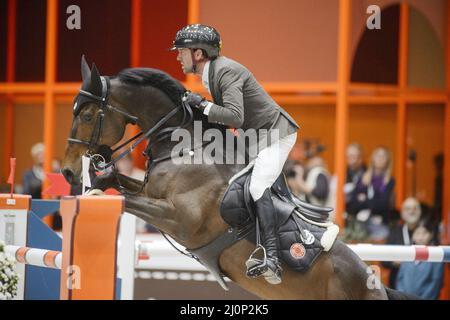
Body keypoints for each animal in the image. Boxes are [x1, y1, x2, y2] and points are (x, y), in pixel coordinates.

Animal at [62, 57, 408, 300]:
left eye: (88, 115)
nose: (66, 170)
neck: (185, 148)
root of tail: (378, 285)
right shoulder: (151, 192)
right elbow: (119, 183)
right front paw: (95, 181)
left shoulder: (179, 219)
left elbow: (126, 199)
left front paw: (91, 192)